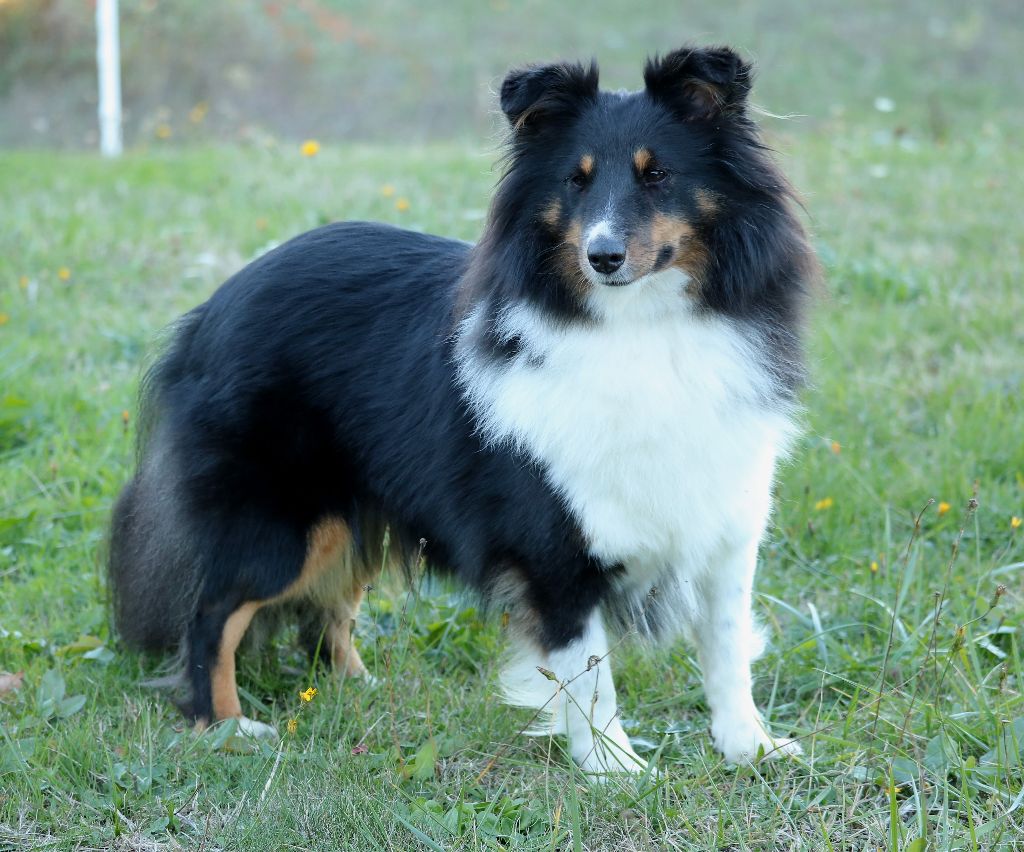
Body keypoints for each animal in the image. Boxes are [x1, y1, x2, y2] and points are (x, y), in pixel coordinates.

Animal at [110, 46, 815, 778]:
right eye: (576, 181)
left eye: (659, 176)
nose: (603, 257)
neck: (639, 325)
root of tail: (207, 311)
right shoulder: (553, 546)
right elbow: (589, 671)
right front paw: (614, 770)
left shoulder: (725, 520)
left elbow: (726, 649)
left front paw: (751, 747)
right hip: (283, 522)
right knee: (211, 613)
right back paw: (225, 728)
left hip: (356, 511)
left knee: (324, 611)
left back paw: (357, 692)